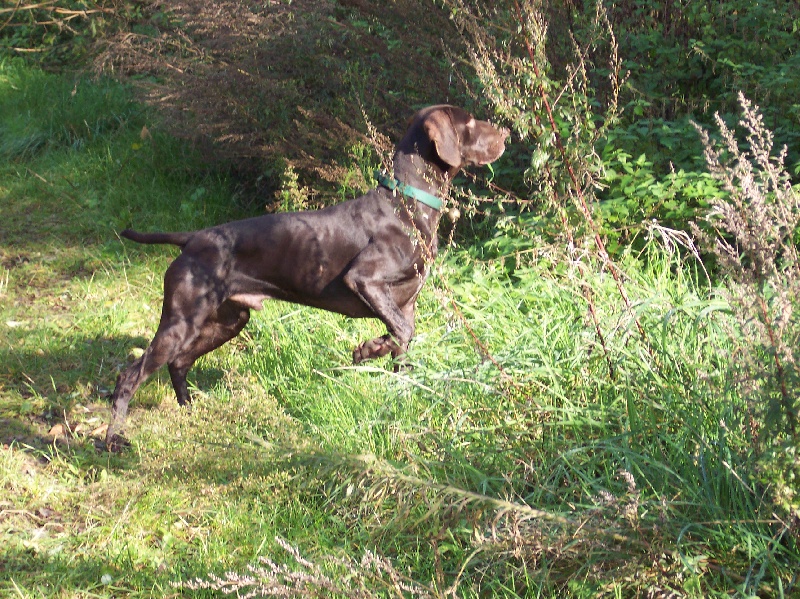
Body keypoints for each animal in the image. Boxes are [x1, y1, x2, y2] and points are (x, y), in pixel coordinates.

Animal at [106, 105, 510, 448]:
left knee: (179, 363)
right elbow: (402, 332)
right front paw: (369, 349)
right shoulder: (364, 280)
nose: (506, 133)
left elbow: (403, 343)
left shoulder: (405, 303)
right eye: (470, 122)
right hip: (181, 321)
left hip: (228, 320)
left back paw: (190, 410)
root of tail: (192, 239)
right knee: (130, 377)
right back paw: (113, 440)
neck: (406, 205)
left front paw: (392, 378)